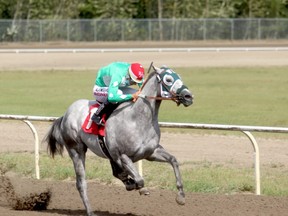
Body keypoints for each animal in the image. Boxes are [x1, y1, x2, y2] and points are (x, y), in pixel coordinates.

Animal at [45, 65, 194, 215]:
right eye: (168, 79)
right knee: (81, 183)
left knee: (115, 172)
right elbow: (139, 179)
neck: (138, 119)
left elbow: (173, 160)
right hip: (76, 150)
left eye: (179, 76)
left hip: (106, 152)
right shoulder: (122, 156)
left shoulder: (151, 153)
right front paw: (139, 187)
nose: (188, 96)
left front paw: (181, 196)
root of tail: (65, 114)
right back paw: (91, 211)